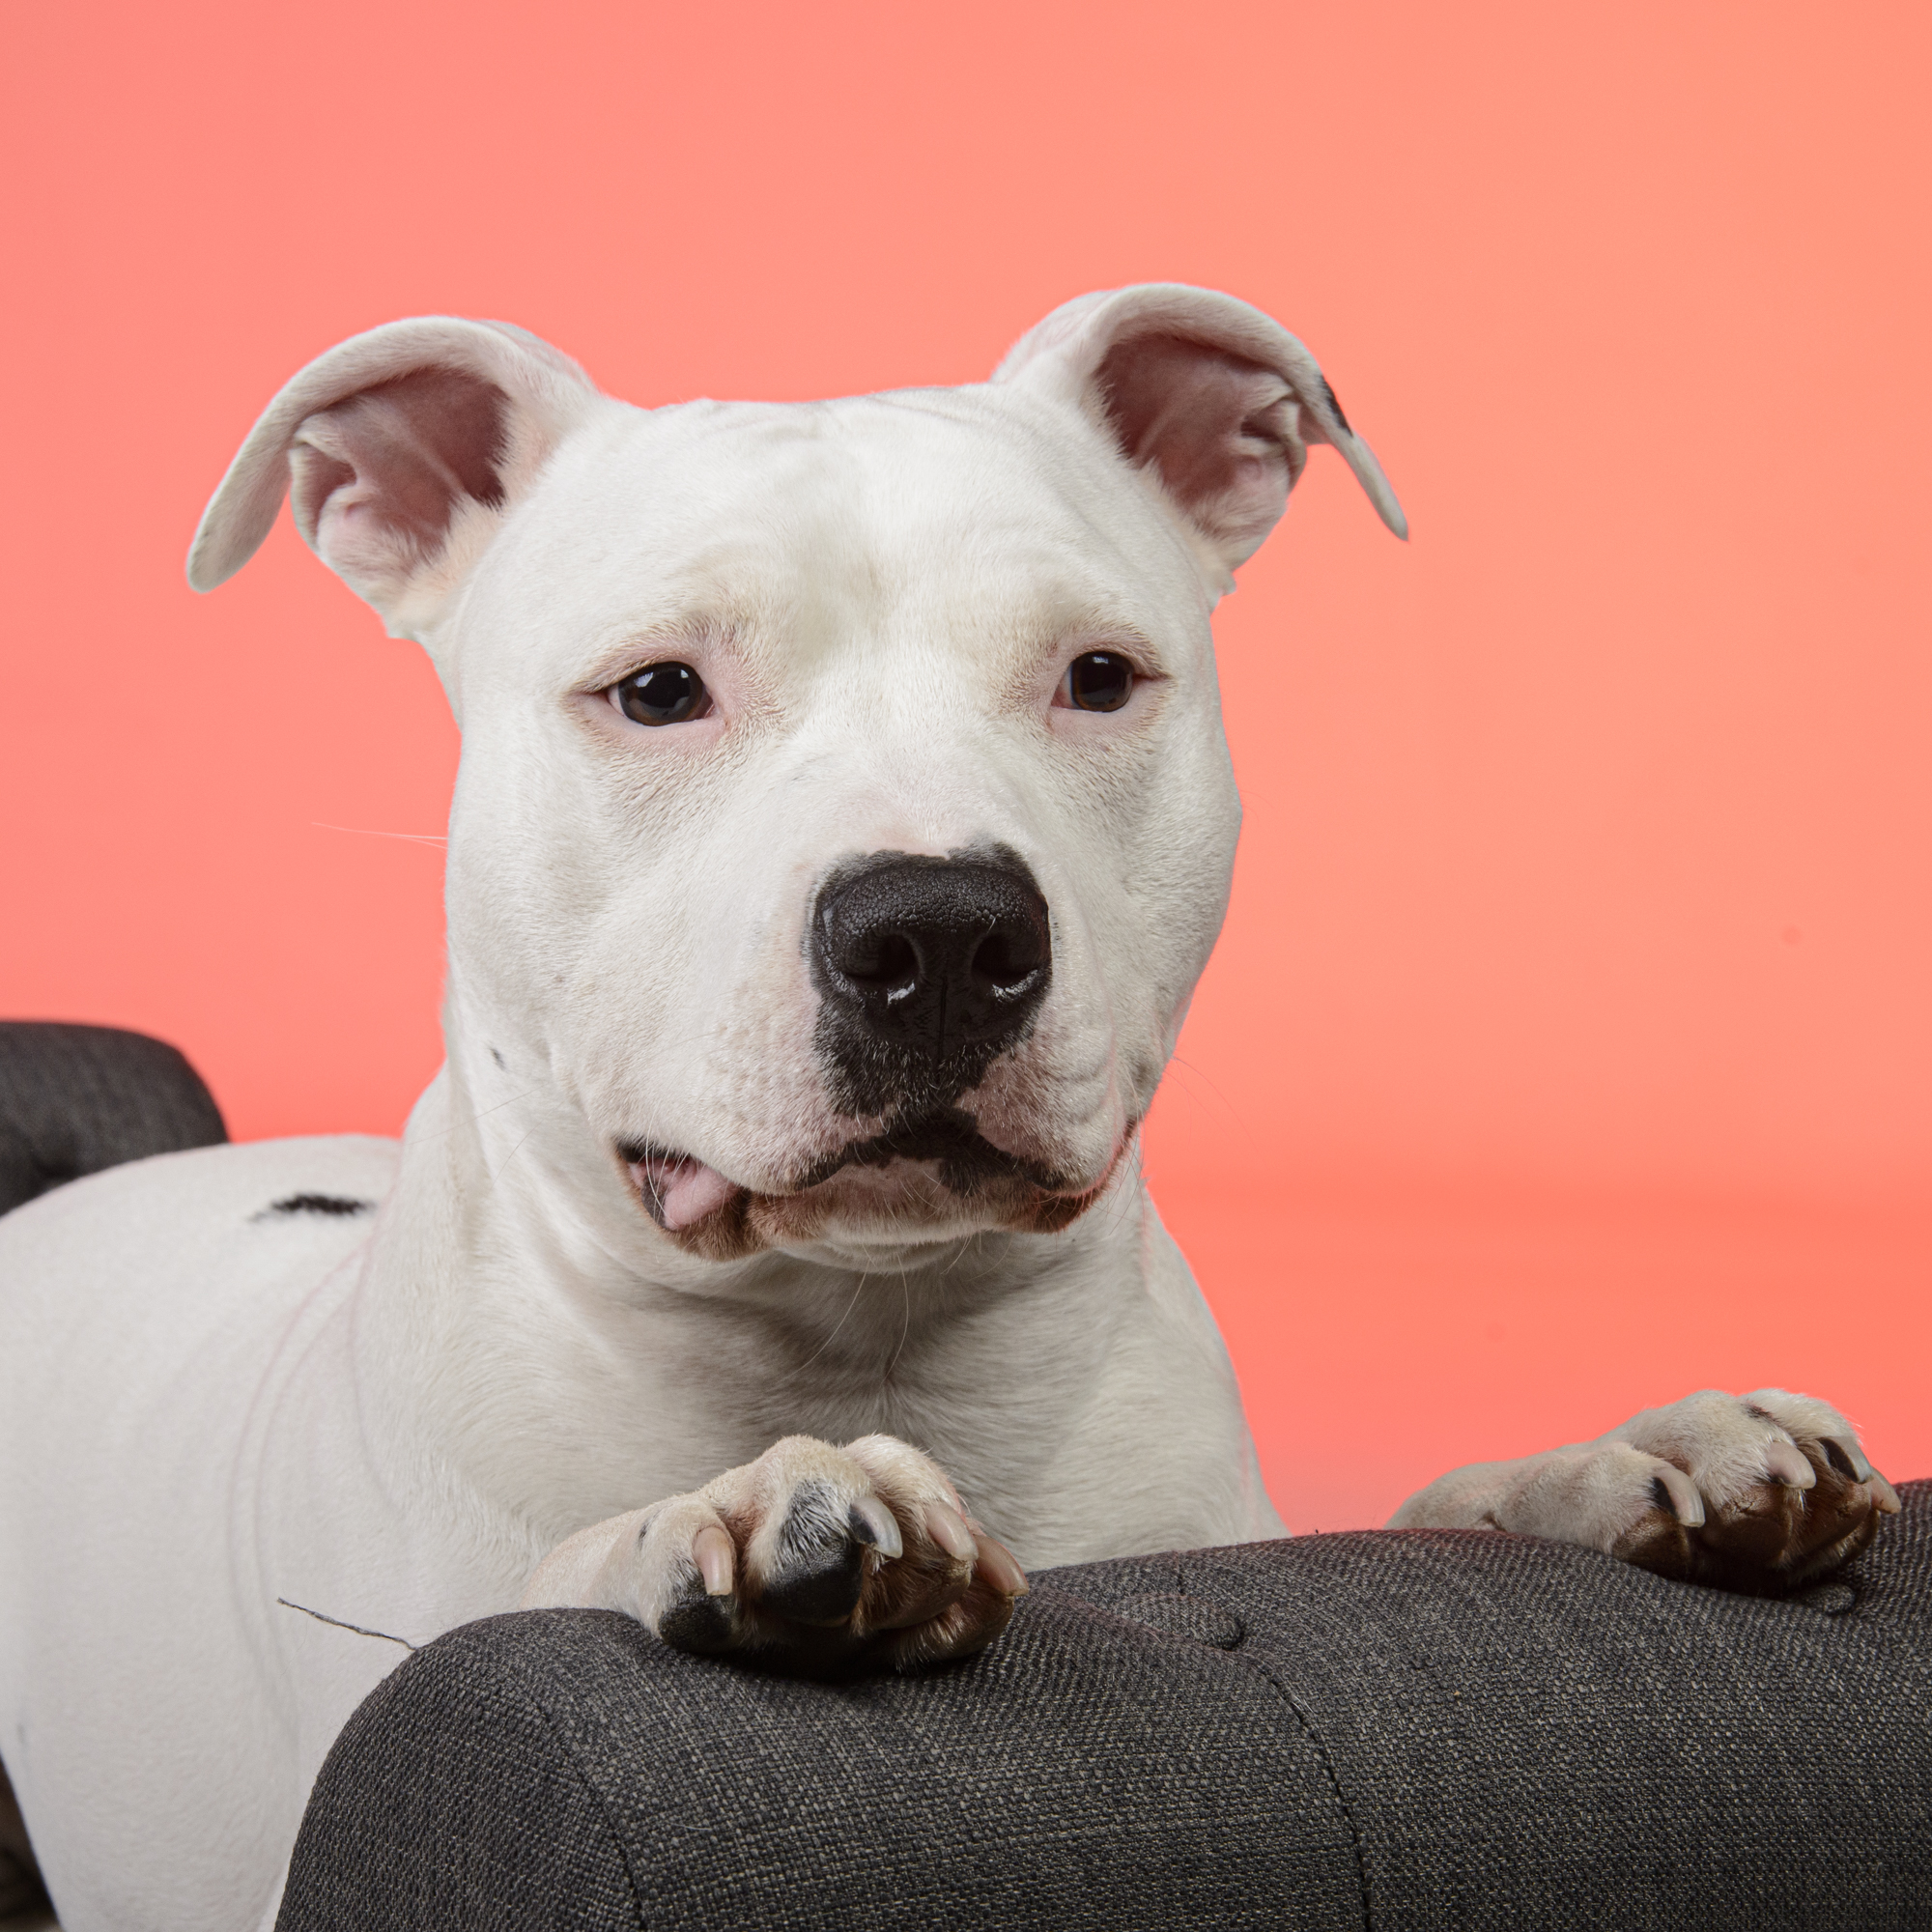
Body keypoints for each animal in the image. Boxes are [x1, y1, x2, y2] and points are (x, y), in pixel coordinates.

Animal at [0, 286, 1901, 1932]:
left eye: (1098, 676)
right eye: (658, 690)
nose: (935, 932)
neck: (877, 1338)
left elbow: (1435, 1510)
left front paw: (1635, 1456)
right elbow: (531, 1583)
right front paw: (728, 1517)